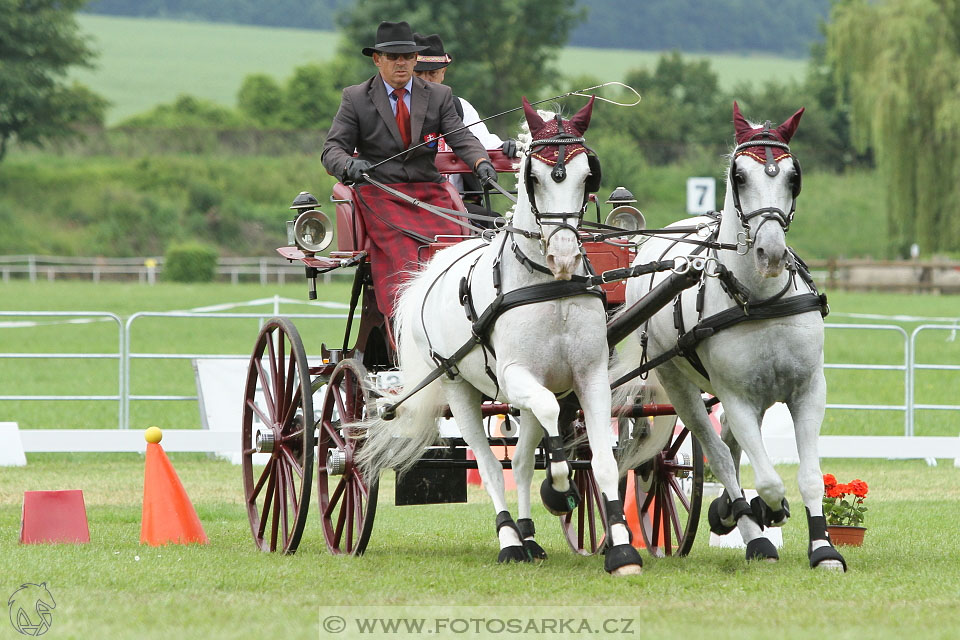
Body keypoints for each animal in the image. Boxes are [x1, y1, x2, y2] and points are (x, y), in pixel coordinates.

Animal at [354, 99, 644, 576]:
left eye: (588, 175)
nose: (563, 254)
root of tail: (436, 262)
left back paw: (528, 536)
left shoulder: (591, 376)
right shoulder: (515, 376)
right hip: (457, 386)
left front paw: (622, 550)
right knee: (491, 465)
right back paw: (510, 540)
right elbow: (547, 429)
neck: (548, 286)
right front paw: (560, 490)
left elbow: (601, 460)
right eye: (534, 176)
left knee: (522, 461)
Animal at [620, 102, 844, 572]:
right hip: (679, 383)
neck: (758, 298)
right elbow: (768, 480)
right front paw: (762, 517)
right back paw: (746, 524)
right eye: (739, 176)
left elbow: (810, 477)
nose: (771, 254)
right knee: (719, 452)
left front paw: (824, 548)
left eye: (794, 176)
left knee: (728, 442)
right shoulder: (737, 396)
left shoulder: (808, 390)